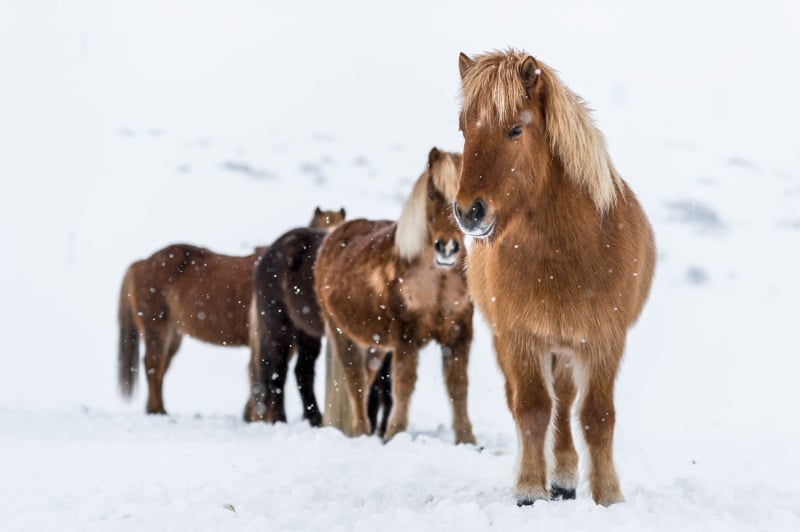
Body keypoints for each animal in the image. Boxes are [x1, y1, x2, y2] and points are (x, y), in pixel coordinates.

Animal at [118, 208, 344, 416]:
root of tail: (141, 263)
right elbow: (260, 372)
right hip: (157, 329)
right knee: (153, 366)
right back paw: (159, 410)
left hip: (174, 335)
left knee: (160, 368)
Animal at [312, 148, 476, 442]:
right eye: (432, 195)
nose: (447, 247)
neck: (437, 280)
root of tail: (332, 237)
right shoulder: (405, 338)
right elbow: (404, 384)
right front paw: (394, 433)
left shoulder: (459, 334)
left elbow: (458, 387)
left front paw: (468, 440)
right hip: (342, 334)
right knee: (355, 382)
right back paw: (361, 432)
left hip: (374, 345)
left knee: (365, 379)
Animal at [456, 51, 656, 508]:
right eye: (463, 128)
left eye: (515, 128)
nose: (468, 212)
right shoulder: (521, 337)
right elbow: (531, 408)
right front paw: (529, 489)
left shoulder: (604, 340)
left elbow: (597, 416)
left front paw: (608, 495)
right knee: (533, 404)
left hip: (566, 347)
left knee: (565, 403)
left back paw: (564, 477)